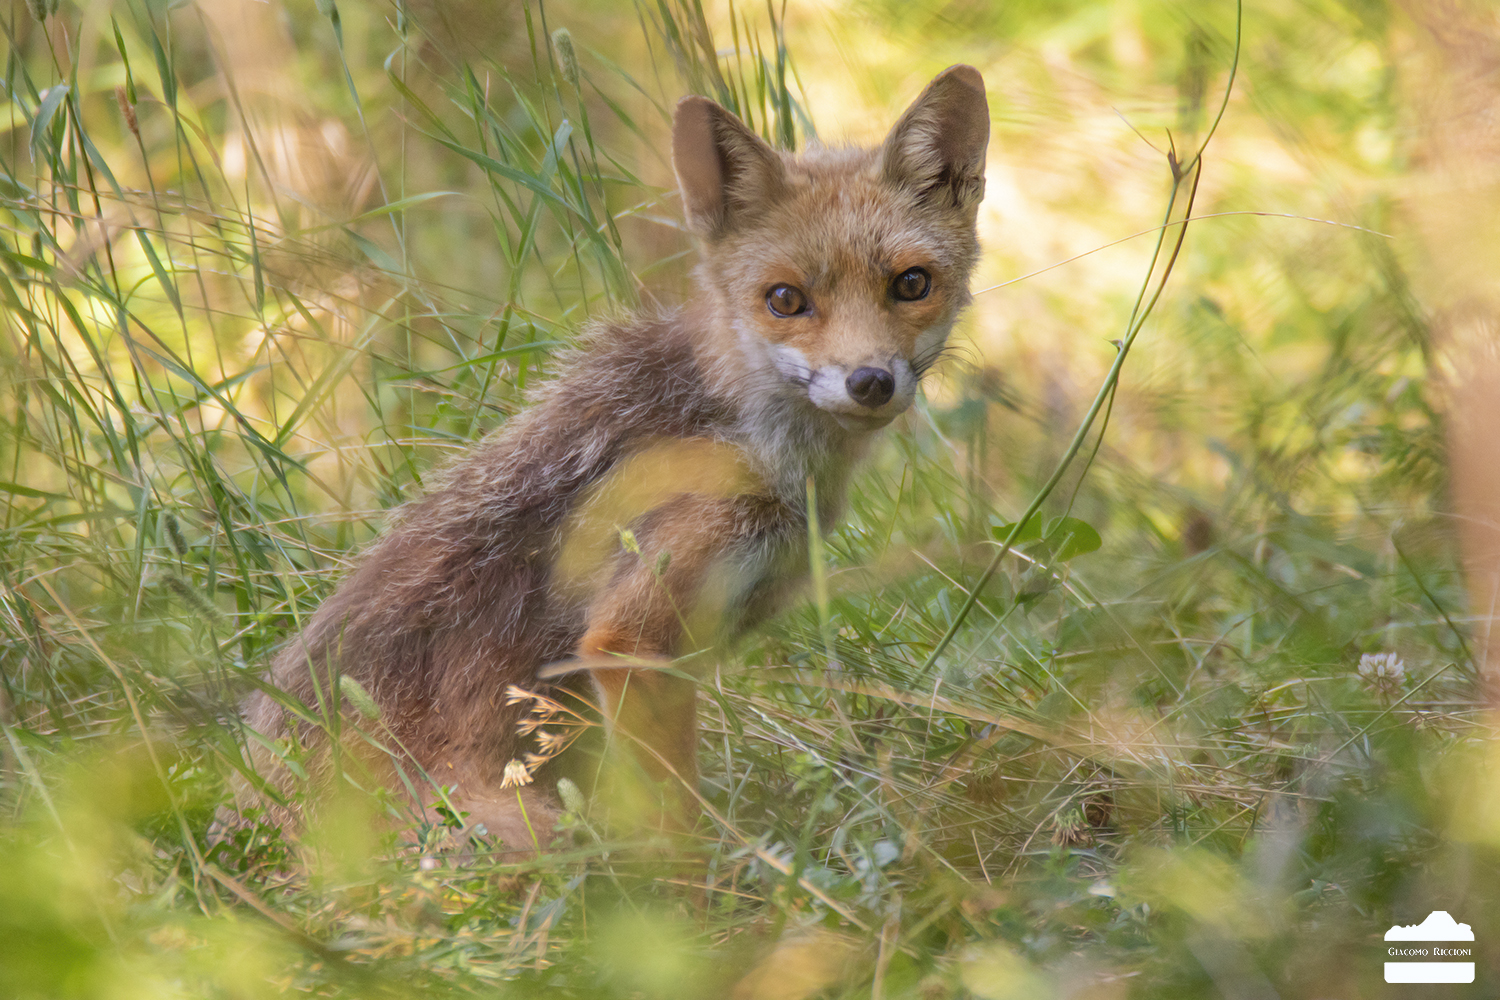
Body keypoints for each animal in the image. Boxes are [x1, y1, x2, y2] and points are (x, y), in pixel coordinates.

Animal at [237, 65, 990, 848]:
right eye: (785, 300)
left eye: (911, 283)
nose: (870, 382)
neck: (738, 424)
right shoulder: (629, 636)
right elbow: (673, 819)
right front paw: (707, 878)